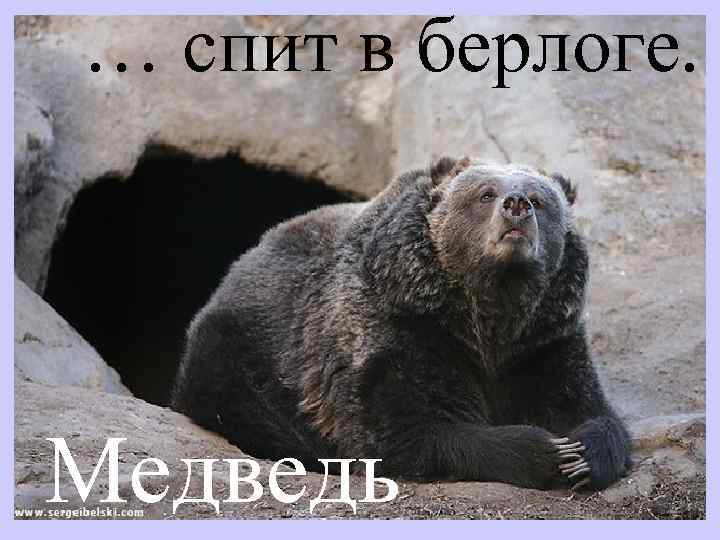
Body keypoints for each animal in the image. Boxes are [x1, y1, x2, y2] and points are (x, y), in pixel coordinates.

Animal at [171, 157, 631, 491]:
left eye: (539, 199)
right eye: (485, 193)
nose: (515, 204)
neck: (488, 317)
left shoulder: (542, 342)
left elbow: (585, 407)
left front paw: (583, 454)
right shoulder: (406, 329)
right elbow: (410, 432)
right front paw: (544, 450)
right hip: (246, 351)